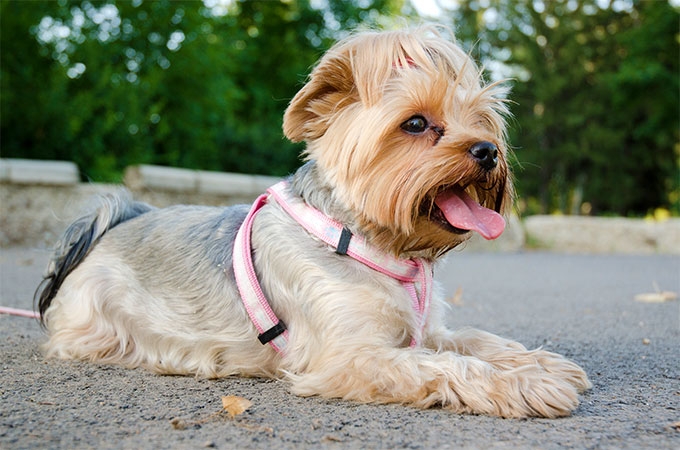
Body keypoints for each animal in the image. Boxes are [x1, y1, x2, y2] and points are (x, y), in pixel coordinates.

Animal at [35, 25, 588, 418]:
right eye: (415, 123)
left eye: (483, 120)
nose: (488, 150)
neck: (369, 241)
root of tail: (115, 221)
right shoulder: (352, 357)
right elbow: (446, 364)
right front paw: (527, 382)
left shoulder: (426, 329)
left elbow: (474, 340)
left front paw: (538, 361)